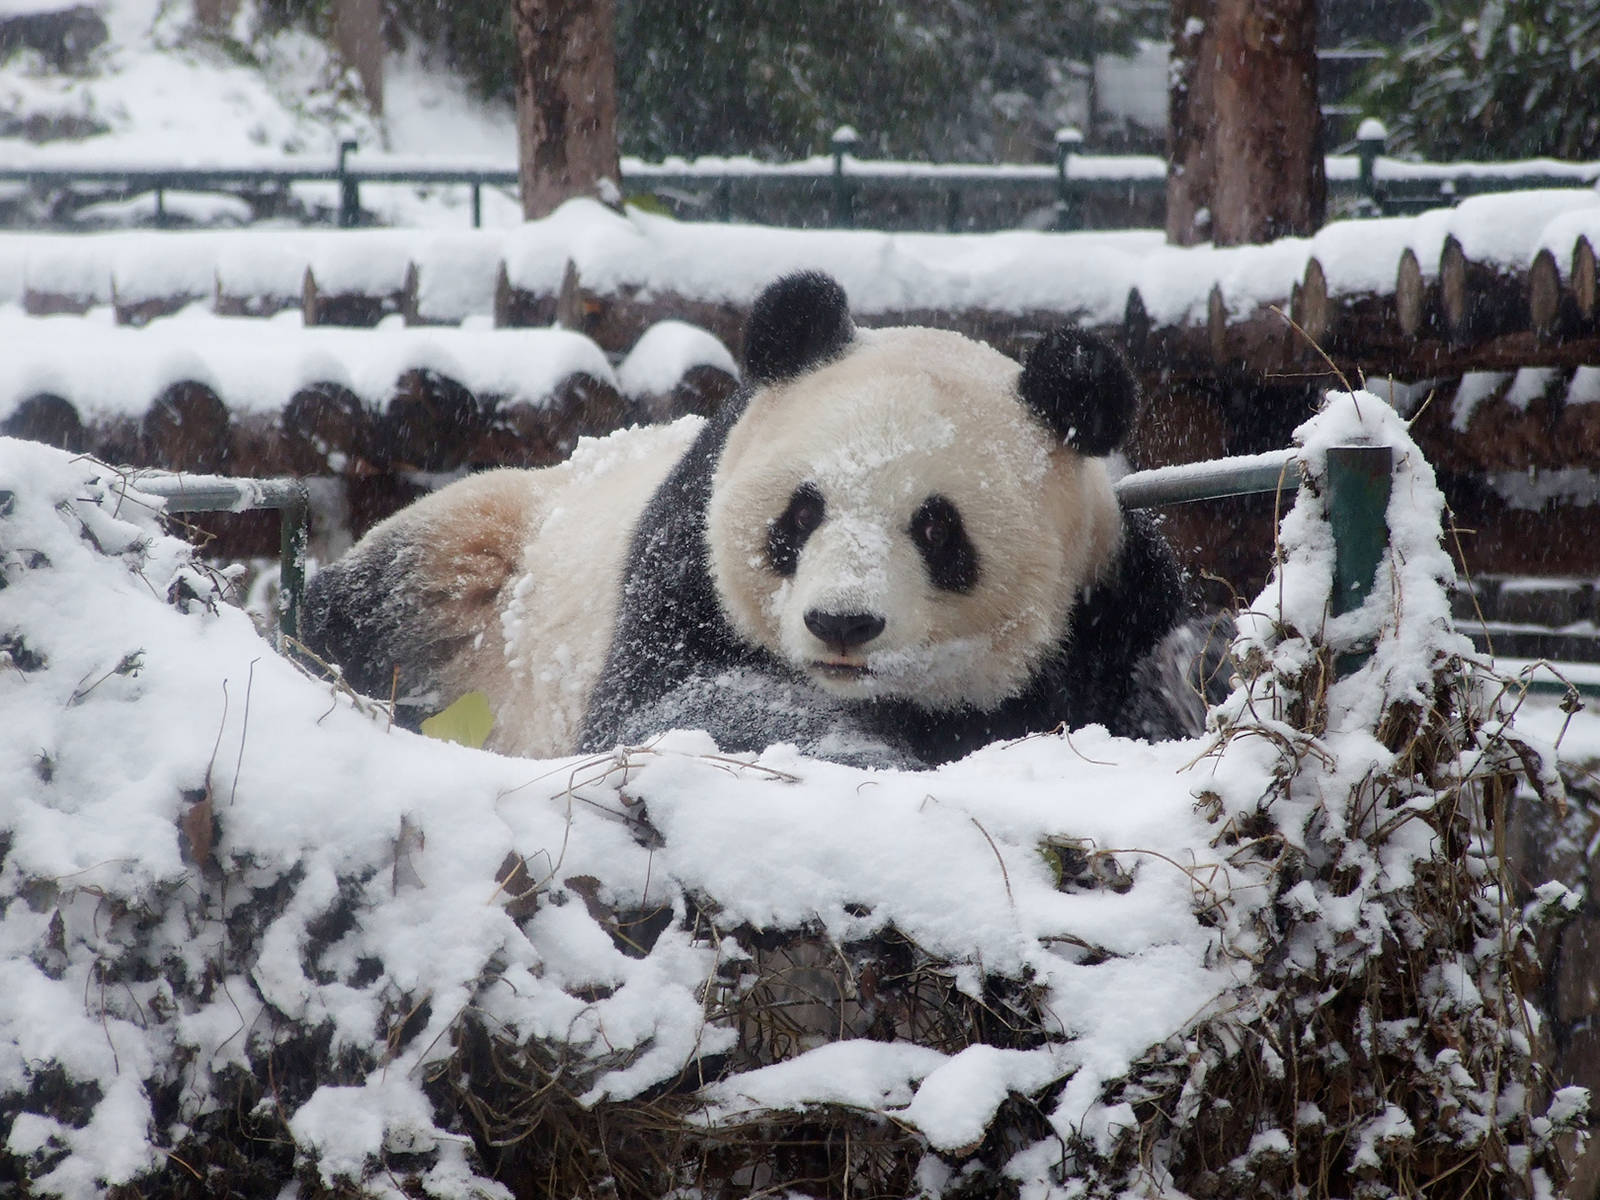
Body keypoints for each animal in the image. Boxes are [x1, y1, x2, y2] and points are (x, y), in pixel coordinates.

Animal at [302, 271, 1211, 768]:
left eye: (938, 529)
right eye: (800, 515)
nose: (842, 623)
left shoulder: (1108, 601)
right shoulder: (682, 566)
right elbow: (679, 706)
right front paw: (869, 757)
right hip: (494, 559)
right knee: (383, 601)